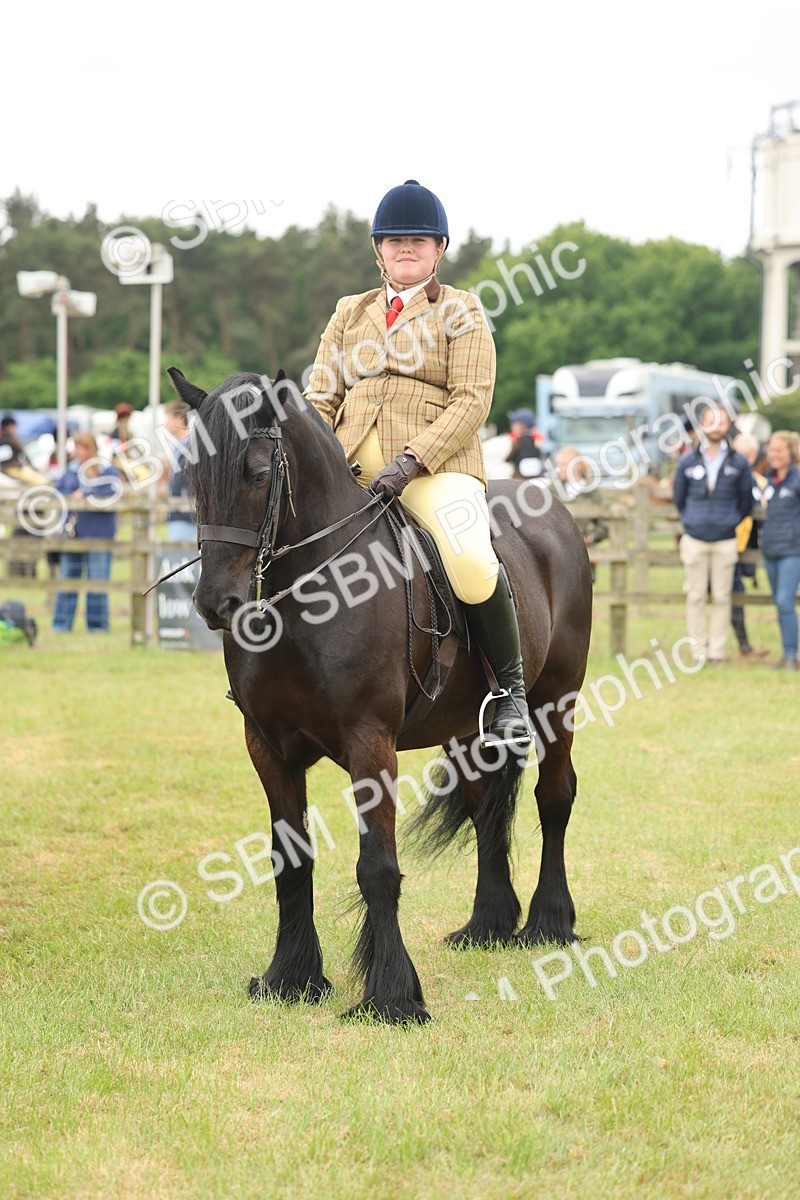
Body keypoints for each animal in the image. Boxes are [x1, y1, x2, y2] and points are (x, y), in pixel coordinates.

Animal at [167, 367, 593, 1024]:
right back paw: (487, 925)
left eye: (258, 474)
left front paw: (393, 995)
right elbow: (291, 862)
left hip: (556, 701)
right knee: (485, 808)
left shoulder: (370, 742)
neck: (311, 596)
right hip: (466, 729)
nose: (217, 604)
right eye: (191, 476)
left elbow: (378, 869)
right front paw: (291, 978)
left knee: (555, 798)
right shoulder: (267, 747)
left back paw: (549, 922)